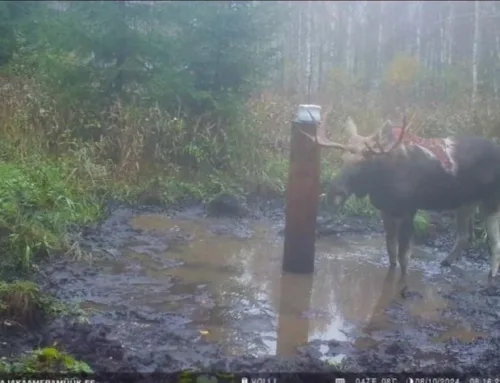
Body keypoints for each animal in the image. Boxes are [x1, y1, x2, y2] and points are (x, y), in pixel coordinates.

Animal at [304, 109, 500, 280]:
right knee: (465, 237)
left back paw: (491, 275)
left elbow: (403, 258)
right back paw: (446, 262)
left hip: (490, 203)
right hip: (466, 204)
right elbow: (391, 252)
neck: (380, 183)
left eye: (363, 162)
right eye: (342, 159)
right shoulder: (385, 210)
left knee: (494, 242)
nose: (333, 195)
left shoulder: (408, 211)